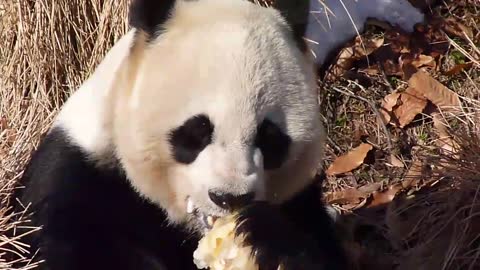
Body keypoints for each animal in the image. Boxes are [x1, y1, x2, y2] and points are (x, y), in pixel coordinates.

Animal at [8, 0, 424, 270]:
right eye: (196, 131)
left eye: (270, 137)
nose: (229, 198)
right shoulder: (74, 183)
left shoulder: (300, 201)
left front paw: (263, 234)